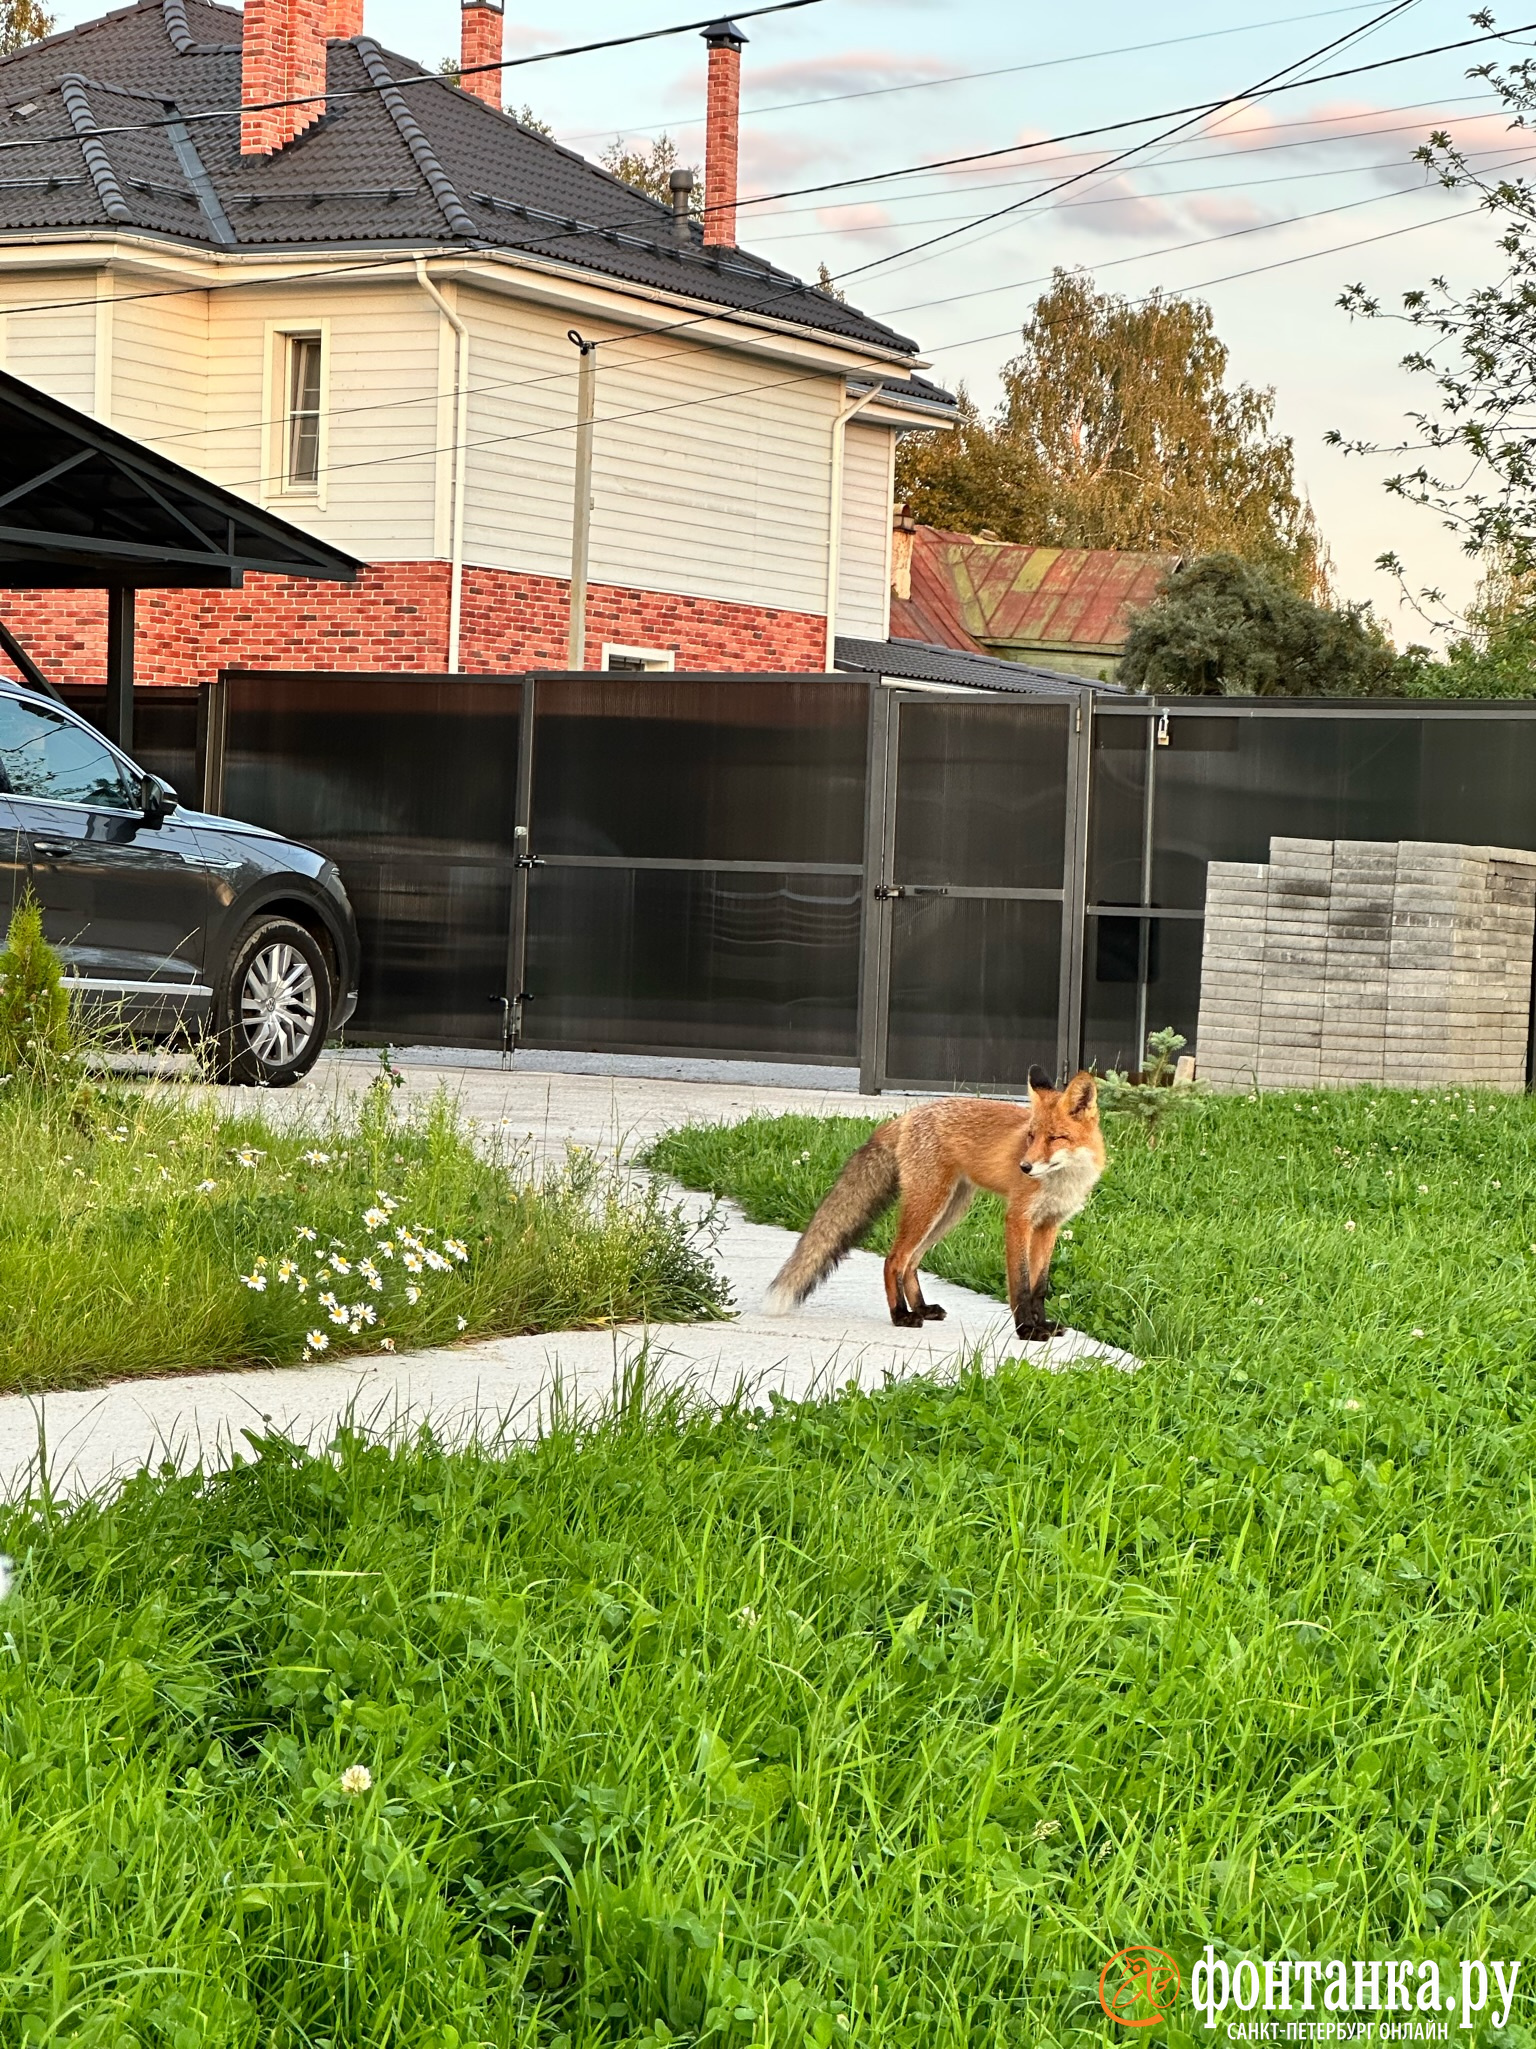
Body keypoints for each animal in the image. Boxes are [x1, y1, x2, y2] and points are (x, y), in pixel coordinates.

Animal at [765, 1073, 1105, 1344]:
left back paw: (921, 1308)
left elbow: (1039, 1286)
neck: (1063, 1180)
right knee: (894, 1259)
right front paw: (1027, 1330)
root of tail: (906, 1116)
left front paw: (1042, 1324)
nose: (1024, 1167)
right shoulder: (1018, 1219)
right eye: (1031, 1136)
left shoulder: (1049, 1224)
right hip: (930, 1204)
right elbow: (1020, 1285)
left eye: (1055, 1137)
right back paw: (901, 1315)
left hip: (950, 1211)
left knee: (911, 1262)